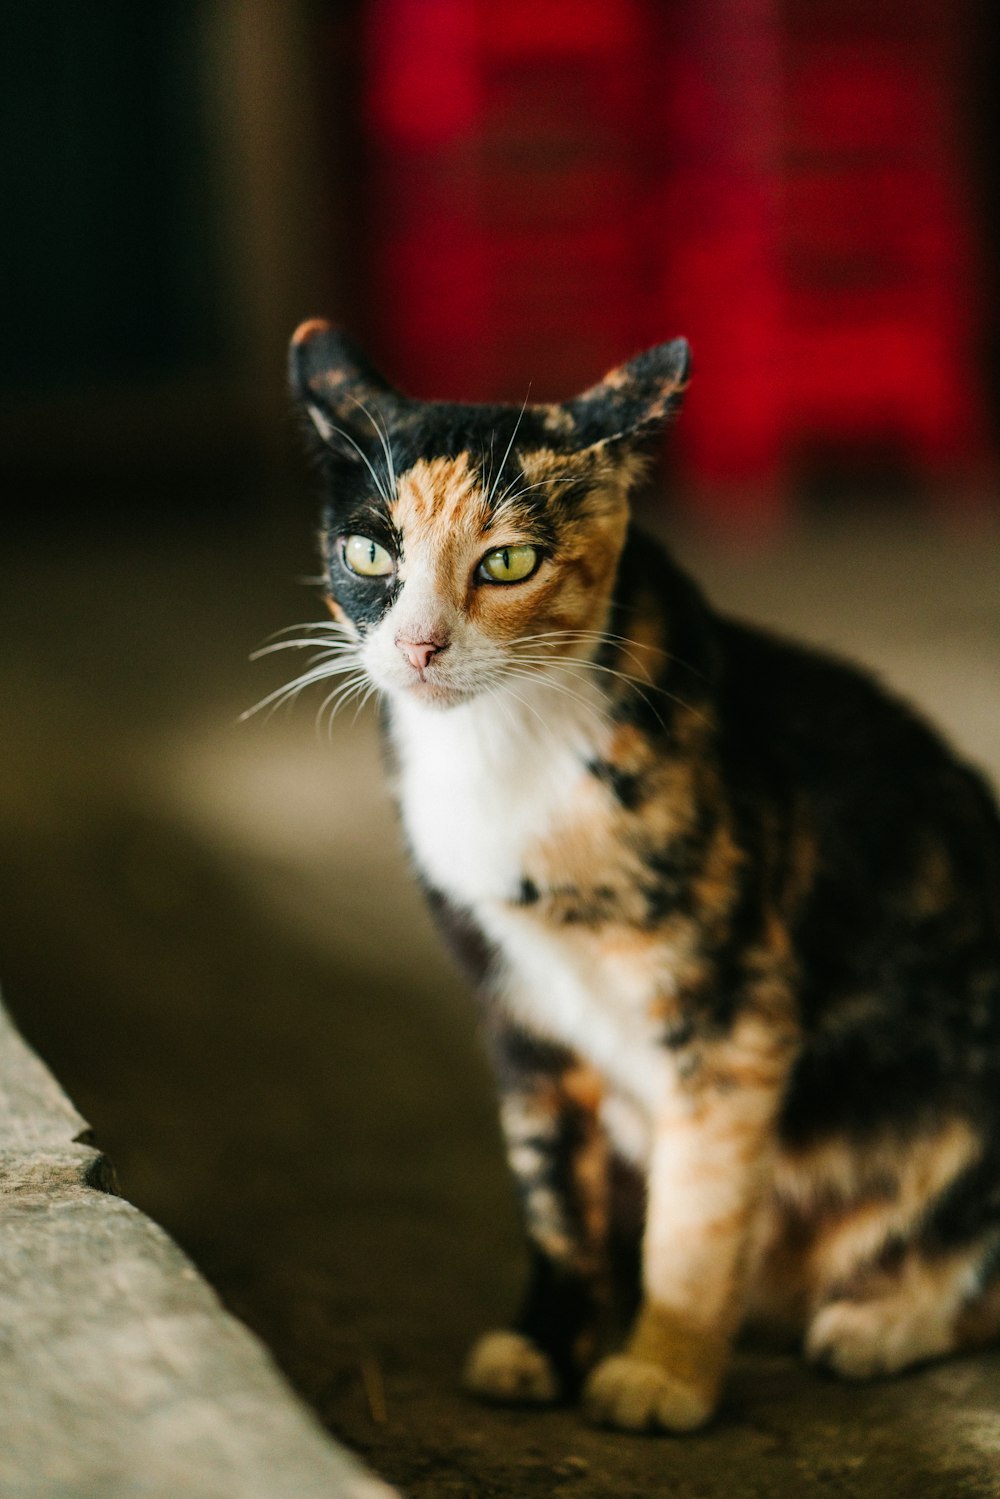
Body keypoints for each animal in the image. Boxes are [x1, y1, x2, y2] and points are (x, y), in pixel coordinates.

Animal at [281, 322, 1000, 1433]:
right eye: (369, 551)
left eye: (510, 559)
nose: (418, 644)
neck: (505, 753)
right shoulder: (516, 1004)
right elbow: (551, 1196)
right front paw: (543, 1345)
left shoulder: (733, 1006)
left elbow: (697, 1208)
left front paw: (660, 1374)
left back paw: (875, 1322)